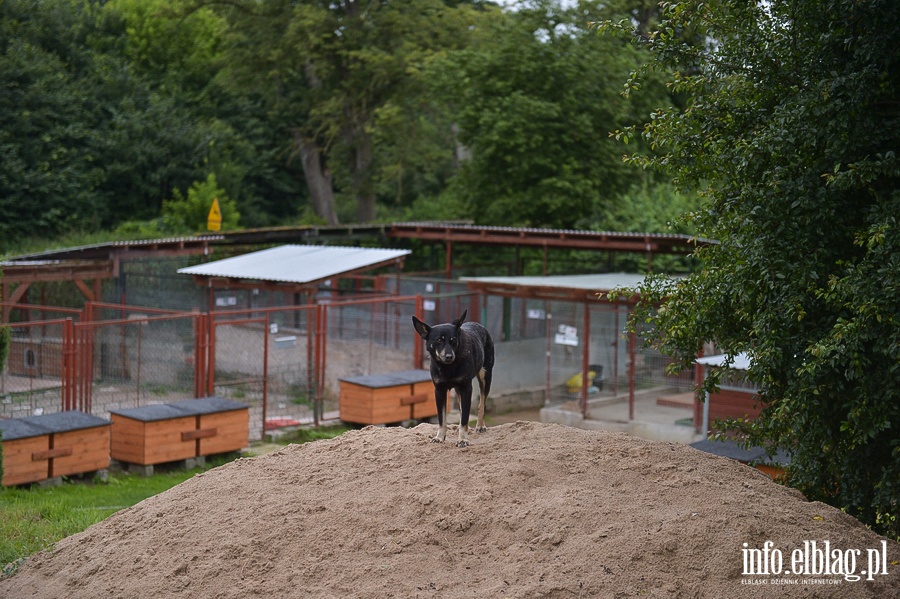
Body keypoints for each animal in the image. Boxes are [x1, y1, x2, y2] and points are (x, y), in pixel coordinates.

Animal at [414, 312, 496, 448]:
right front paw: (439, 437)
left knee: (482, 403)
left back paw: (480, 425)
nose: (449, 356)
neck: (448, 367)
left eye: (454, 340)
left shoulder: (466, 388)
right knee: (463, 409)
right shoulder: (439, 390)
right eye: (439, 340)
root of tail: (479, 325)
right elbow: (442, 418)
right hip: (459, 389)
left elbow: (465, 417)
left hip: (485, 376)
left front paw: (462, 439)